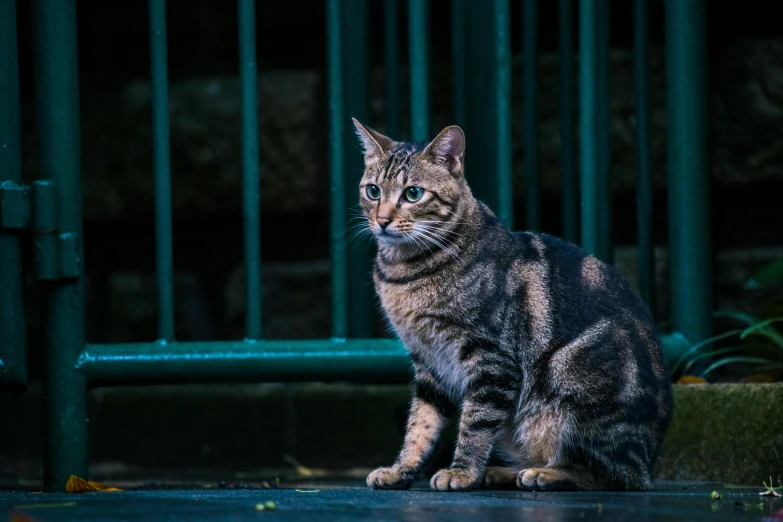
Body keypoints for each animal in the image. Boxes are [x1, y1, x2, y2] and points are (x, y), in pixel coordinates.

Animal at [354, 116, 672, 490]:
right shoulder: (428, 361)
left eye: (413, 193)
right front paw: (401, 469)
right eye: (373, 191)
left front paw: (462, 472)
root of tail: (649, 460)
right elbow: (420, 424)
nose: (382, 220)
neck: (403, 272)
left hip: (571, 377)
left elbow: (475, 423)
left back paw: (544, 473)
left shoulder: (491, 358)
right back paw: (503, 471)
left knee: (608, 474)